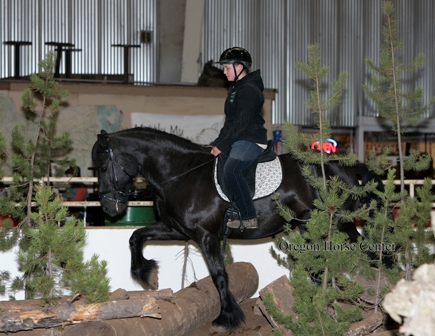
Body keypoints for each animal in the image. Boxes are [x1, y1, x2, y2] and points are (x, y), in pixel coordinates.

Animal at [93, 127, 382, 330]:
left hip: (338, 224)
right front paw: (147, 275)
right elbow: (135, 236)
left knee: (364, 253)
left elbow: (219, 275)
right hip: (312, 227)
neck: (182, 174)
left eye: (104, 167)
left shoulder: (206, 236)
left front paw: (228, 317)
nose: (108, 208)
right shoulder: (176, 230)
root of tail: (343, 166)